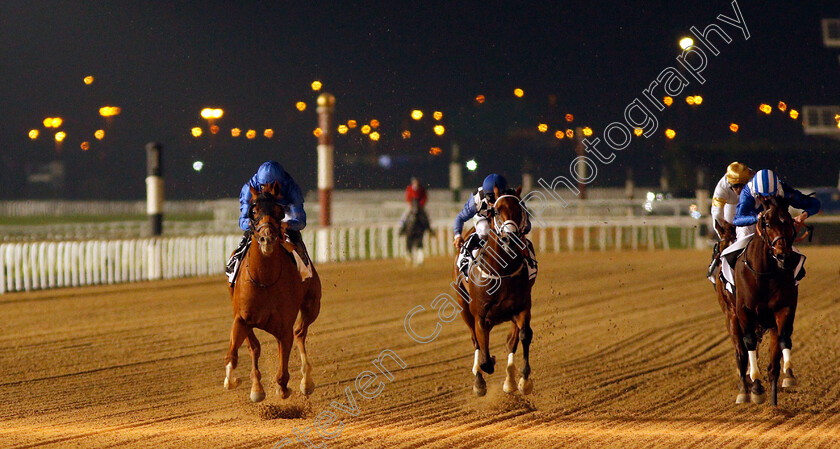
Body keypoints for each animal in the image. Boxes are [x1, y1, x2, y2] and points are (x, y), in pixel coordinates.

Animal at [223, 182, 322, 402]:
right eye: (253, 211)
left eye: (279, 211)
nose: (266, 238)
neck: (264, 280)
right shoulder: (241, 318)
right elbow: (237, 352)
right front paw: (238, 382)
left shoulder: (283, 327)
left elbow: (283, 372)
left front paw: (282, 387)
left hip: (312, 306)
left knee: (300, 333)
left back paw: (307, 381)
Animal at [452, 186, 540, 396]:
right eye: (497, 211)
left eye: (520, 209)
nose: (510, 238)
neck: (501, 270)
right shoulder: (480, 317)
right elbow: (484, 357)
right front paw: (485, 369)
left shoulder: (522, 307)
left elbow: (523, 336)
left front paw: (524, 381)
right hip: (463, 307)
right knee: (475, 341)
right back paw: (479, 380)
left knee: (511, 341)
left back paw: (509, 381)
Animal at [720, 194, 800, 404]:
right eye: (767, 223)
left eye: (789, 221)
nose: (783, 256)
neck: (763, 273)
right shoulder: (743, 312)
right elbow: (749, 344)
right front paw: (755, 385)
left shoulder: (783, 308)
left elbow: (783, 340)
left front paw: (788, 375)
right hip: (731, 316)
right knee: (740, 352)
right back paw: (744, 390)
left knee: (773, 359)